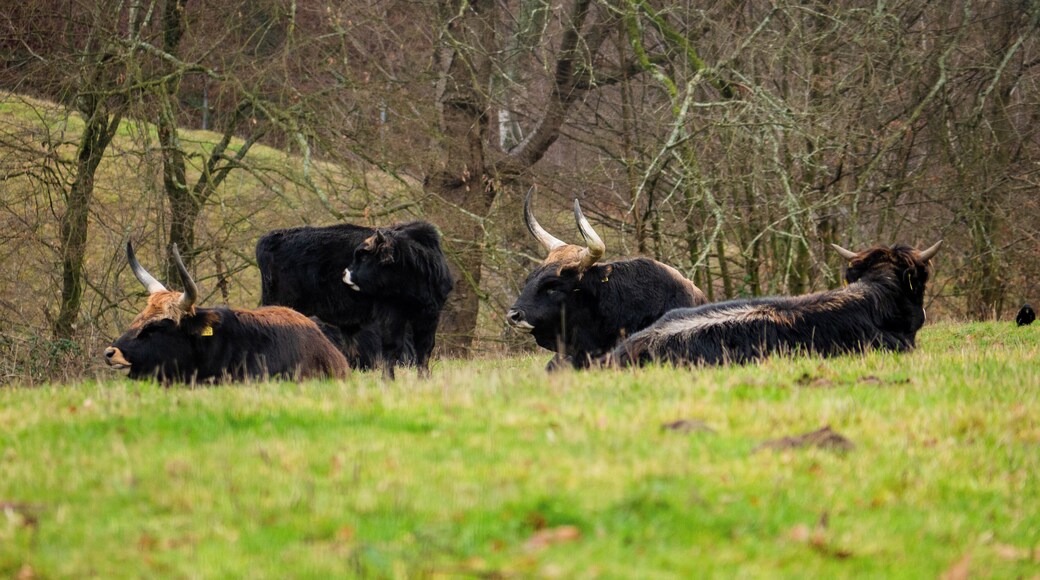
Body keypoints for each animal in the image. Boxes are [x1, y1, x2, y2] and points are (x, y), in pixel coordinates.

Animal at [256, 220, 453, 378]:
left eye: (364, 256)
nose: (344, 273)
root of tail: (271, 238)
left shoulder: (429, 315)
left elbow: (424, 350)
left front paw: (424, 378)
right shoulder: (391, 315)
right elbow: (391, 348)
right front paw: (388, 379)